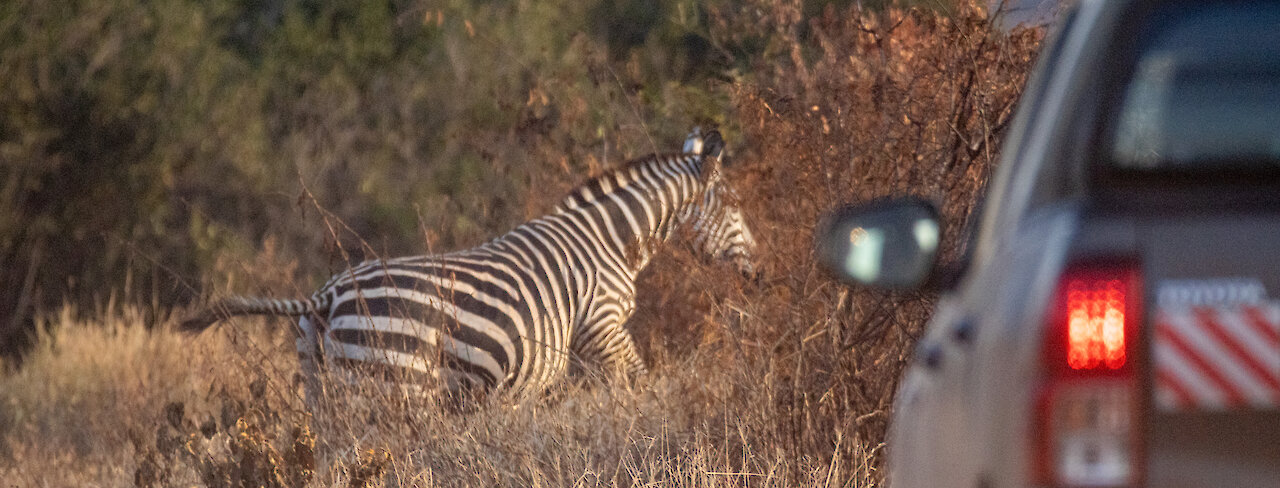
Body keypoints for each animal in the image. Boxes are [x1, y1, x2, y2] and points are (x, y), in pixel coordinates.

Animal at [182, 128, 757, 402]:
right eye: (733, 204)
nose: (758, 276)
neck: (612, 239)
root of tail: (327, 295)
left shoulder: (554, 360)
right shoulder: (604, 328)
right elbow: (641, 386)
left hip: (320, 385)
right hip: (391, 384)